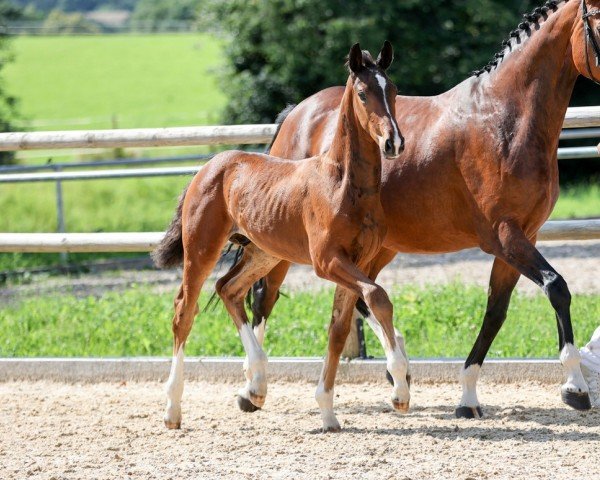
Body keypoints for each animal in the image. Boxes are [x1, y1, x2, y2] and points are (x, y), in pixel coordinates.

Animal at [155, 42, 408, 432]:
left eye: (393, 91)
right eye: (364, 94)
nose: (394, 143)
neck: (343, 184)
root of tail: (210, 166)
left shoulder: (359, 261)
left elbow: (338, 329)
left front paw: (328, 412)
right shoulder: (327, 261)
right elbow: (377, 297)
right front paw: (399, 390)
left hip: (265, 251)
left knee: (229, 289)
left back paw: (257, 384)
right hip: (201, 248)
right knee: (185, 309)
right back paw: (173, 409)